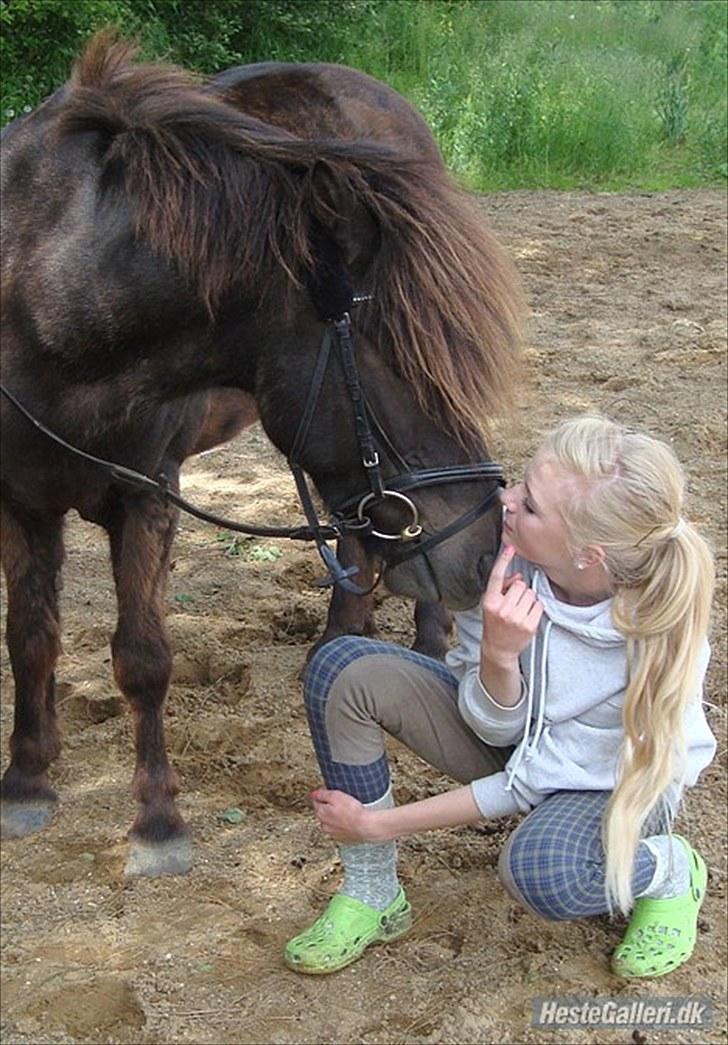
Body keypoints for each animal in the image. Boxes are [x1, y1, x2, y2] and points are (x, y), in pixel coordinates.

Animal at [0, 34, 522, 873]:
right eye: (400, 364)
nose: (482, 549)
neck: (46, 302)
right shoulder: (20, 499)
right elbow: (31, 639)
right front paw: (27, 777)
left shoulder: (147, 495)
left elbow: (142, 658)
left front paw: (157, 822)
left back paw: (419, 636)